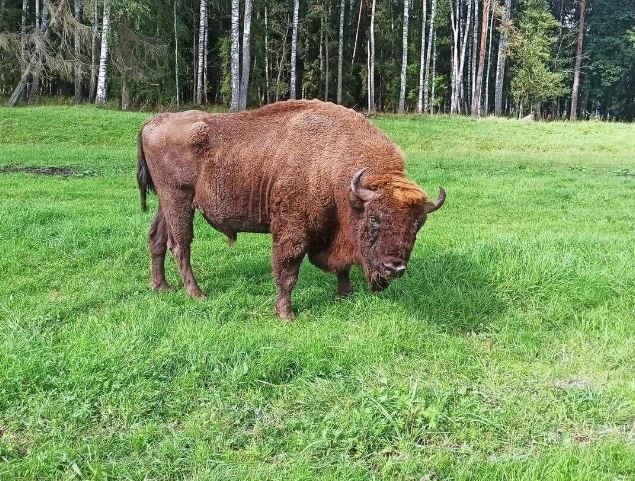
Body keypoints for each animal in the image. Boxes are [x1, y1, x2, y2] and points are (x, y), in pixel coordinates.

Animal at [138, 100, 448, 318]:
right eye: (374, 219)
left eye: (417, 226)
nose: (395, 268)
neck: (333, 165)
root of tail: (154, 121)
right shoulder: (293, 229)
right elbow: (288, 270)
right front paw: (286, 314)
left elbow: (343, 266)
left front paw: (344, 296)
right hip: (179, 200)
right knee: (181, 245)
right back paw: (196, 293)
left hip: (166, 202)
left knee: (156, 238)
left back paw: (161, 287)